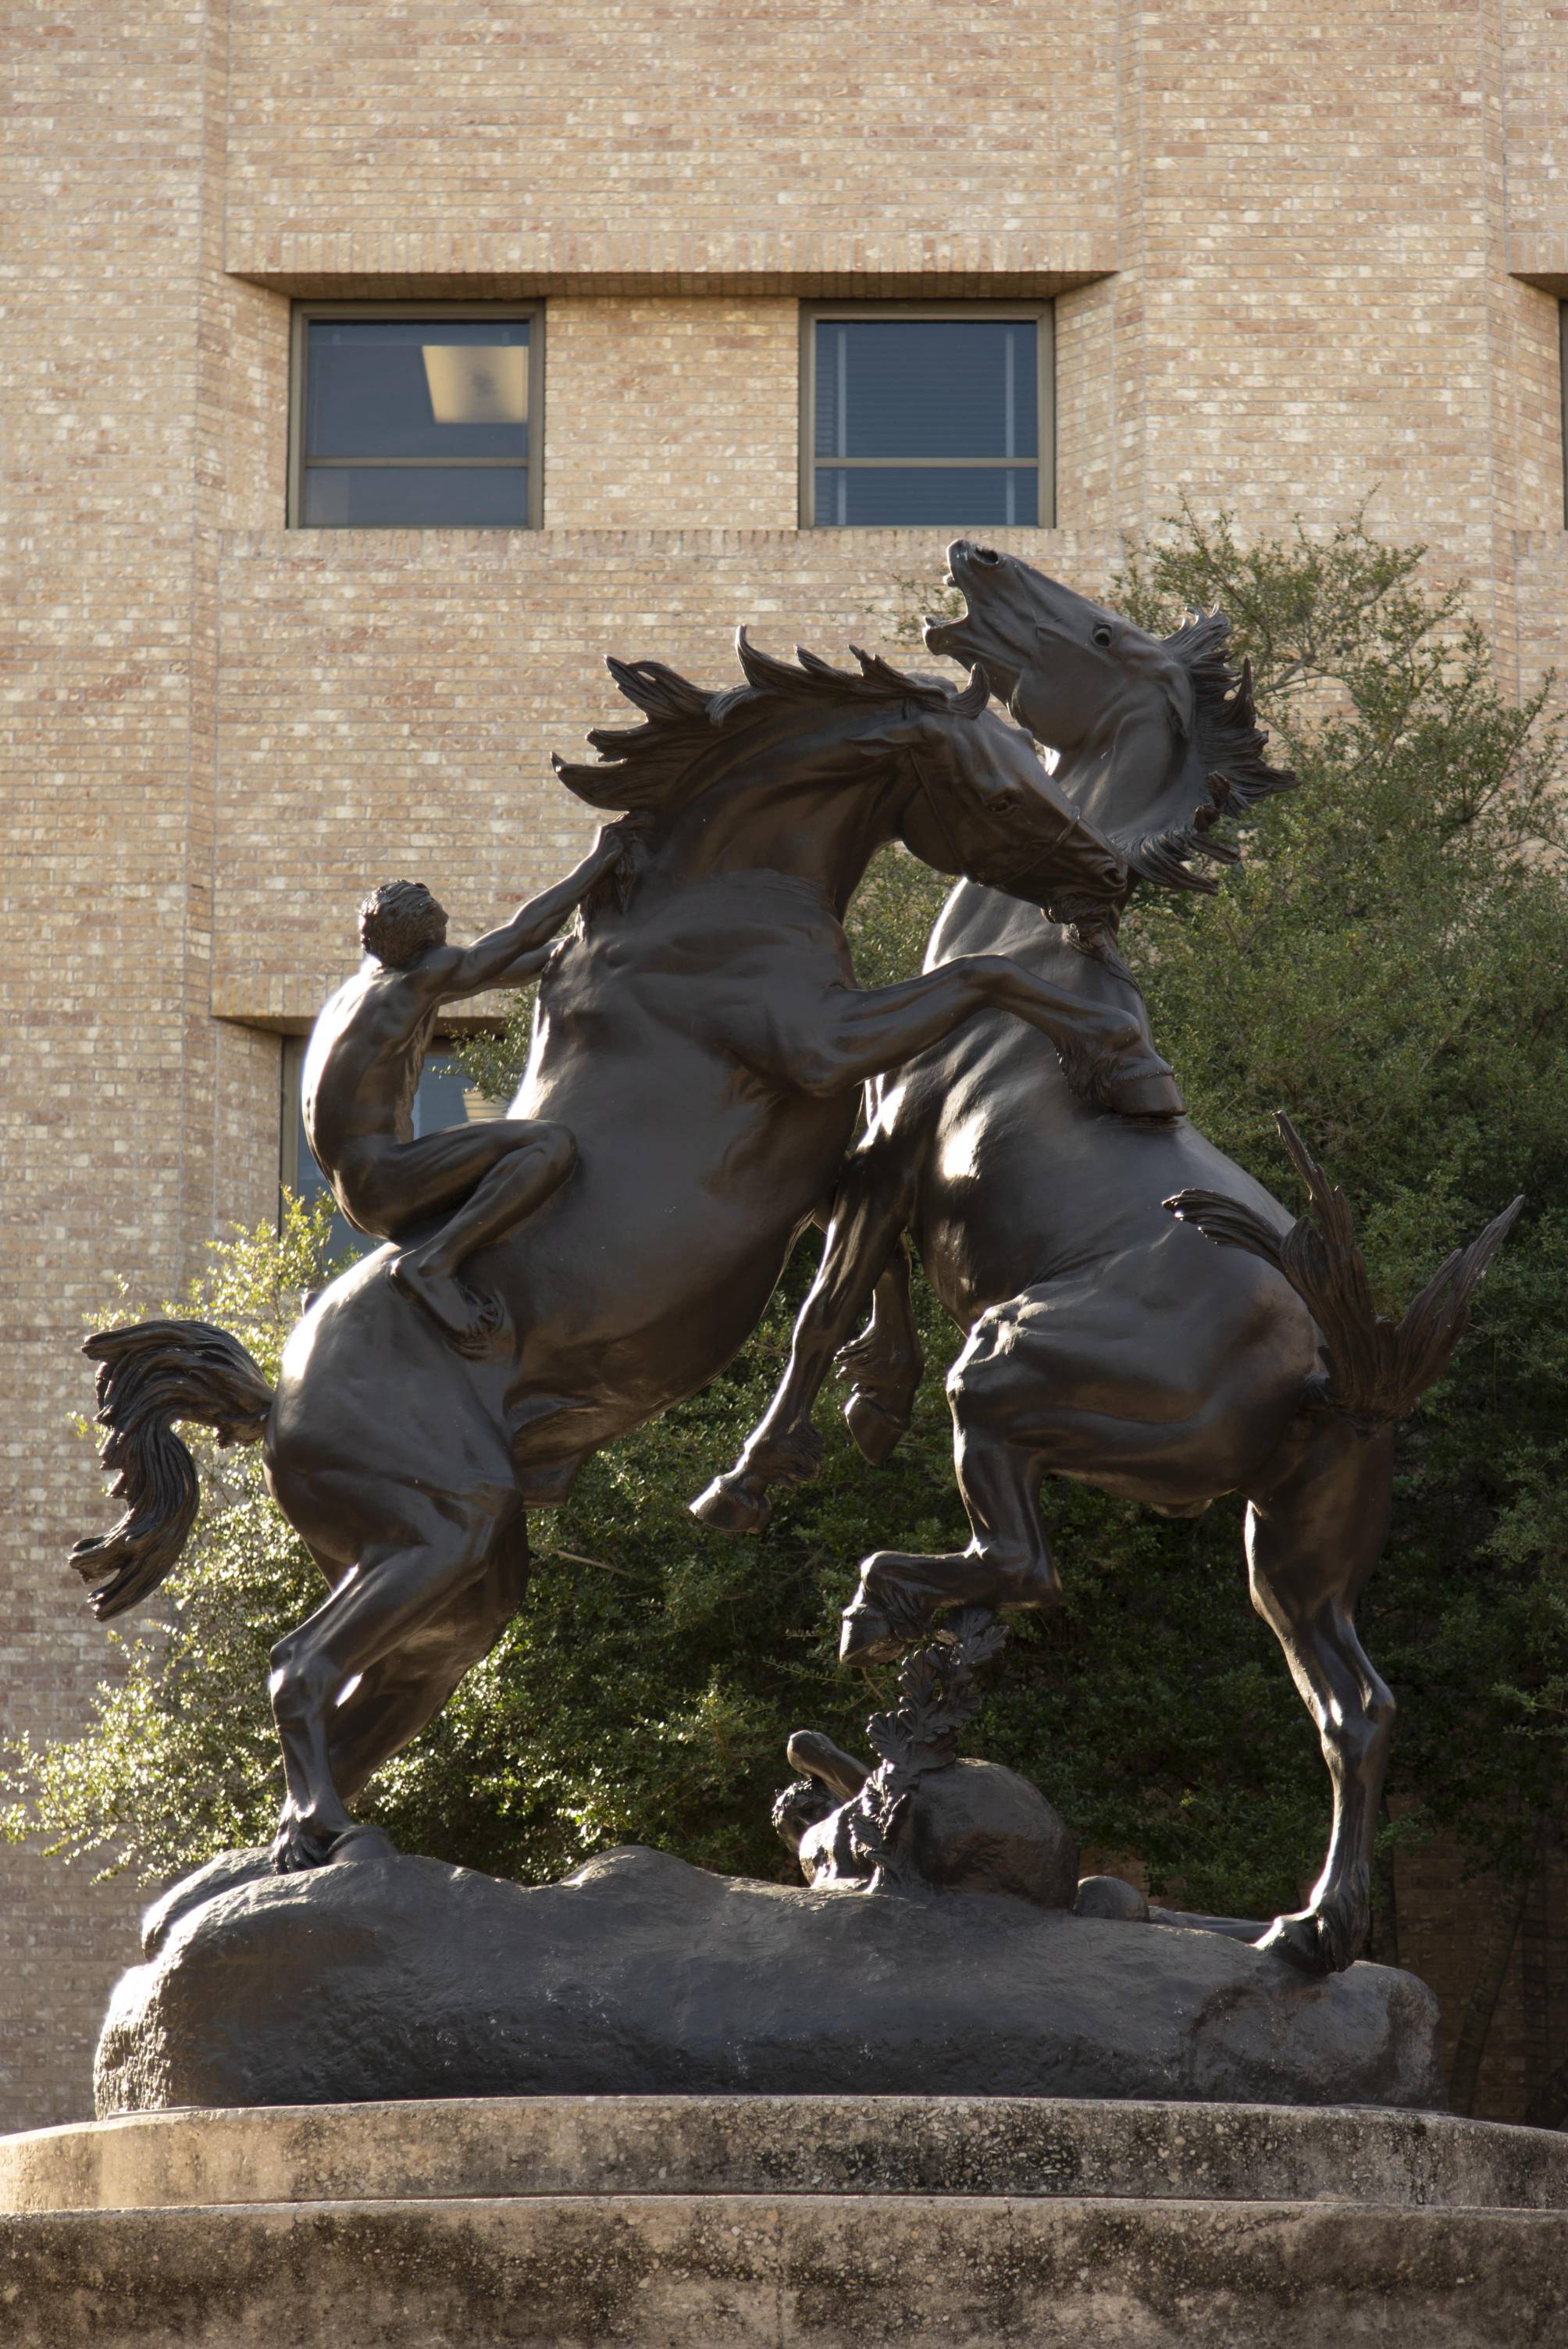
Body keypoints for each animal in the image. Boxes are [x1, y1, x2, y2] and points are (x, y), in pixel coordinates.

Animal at [70, 629, 1173, 1870]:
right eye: (999, 788)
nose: (1109, 880)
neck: (720, 906)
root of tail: (272, 1402)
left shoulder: (831, 1149)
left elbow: (845, 1277)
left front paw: (843, 1420)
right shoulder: (826, 1044)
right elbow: (986, 979)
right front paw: (1127, 1063)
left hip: (458, 1585)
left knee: (373, 1700)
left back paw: (313, 1854)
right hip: (433, 1535)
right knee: (296, 1669)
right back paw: (324, 1835)